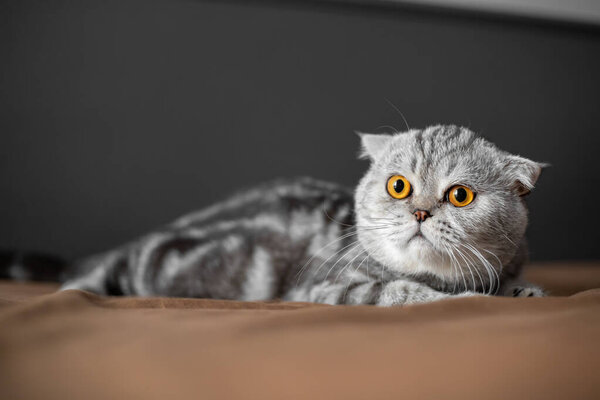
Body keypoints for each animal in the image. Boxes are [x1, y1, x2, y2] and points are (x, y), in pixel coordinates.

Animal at [0, 126, 548, 306]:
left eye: (460, 195)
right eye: (399, 186)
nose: (418, 211)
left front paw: (521, 291)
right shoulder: (326, 287)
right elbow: (397, 290)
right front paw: (451, 299)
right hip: (147, 266)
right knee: (88, 278)